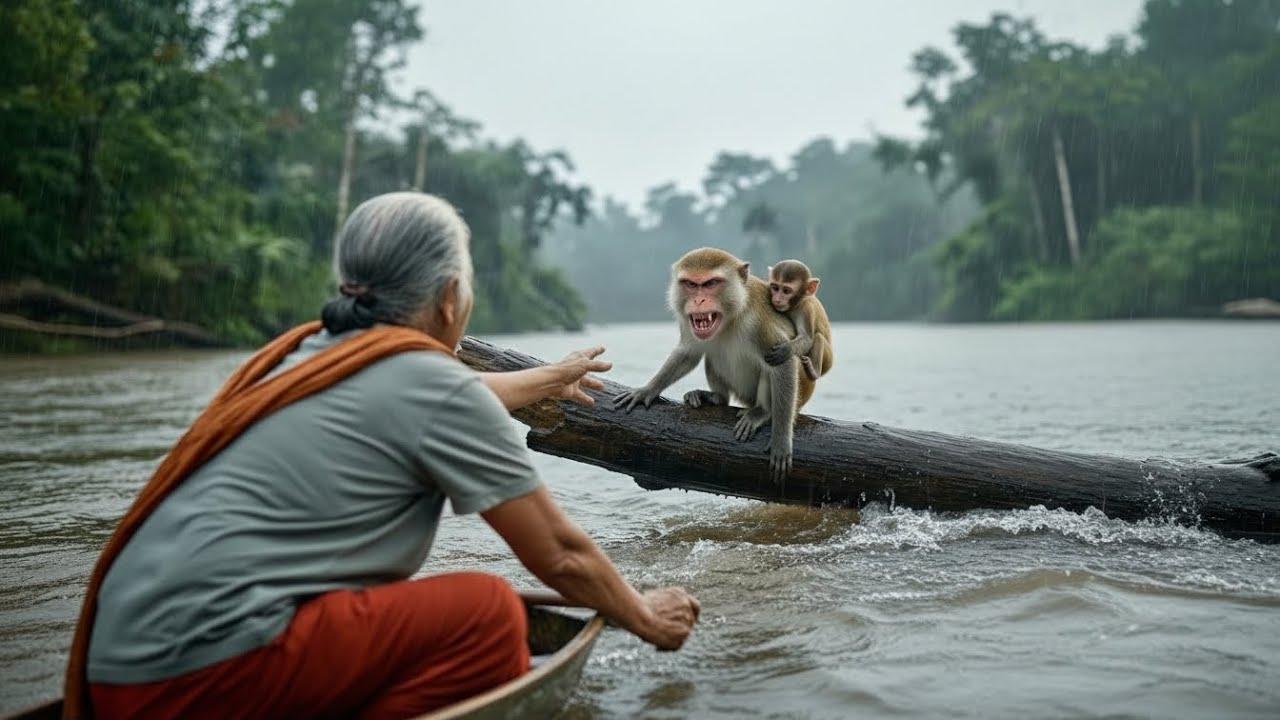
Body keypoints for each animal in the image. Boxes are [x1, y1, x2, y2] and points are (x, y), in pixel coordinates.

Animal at [613, 247, 816, 481]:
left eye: (711, 283)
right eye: (691, 284)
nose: (699, 301)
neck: (731, 316)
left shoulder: (759, 324)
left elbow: (782, 363)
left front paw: (781, 440)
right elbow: (688, 353)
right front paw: (647, 390)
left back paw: (763, 411)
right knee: (712, 356)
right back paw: (716, 397)